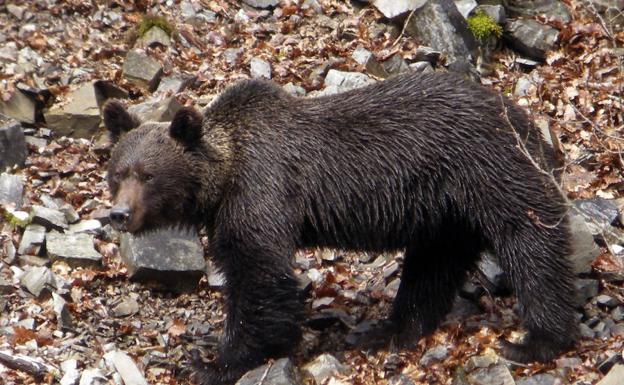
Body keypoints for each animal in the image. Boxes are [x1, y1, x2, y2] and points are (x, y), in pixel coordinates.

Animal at [103, 71, 580, 384]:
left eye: (148, 175)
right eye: (118, 172)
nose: (119, 214)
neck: (223, 177)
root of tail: (522, 115)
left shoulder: (261, 190)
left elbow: (259, 275)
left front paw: (214, 361)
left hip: (487, 169)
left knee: (531, 240)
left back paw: (537, 339)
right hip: (444, 211)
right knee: (432, 265)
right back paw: (389, 329)